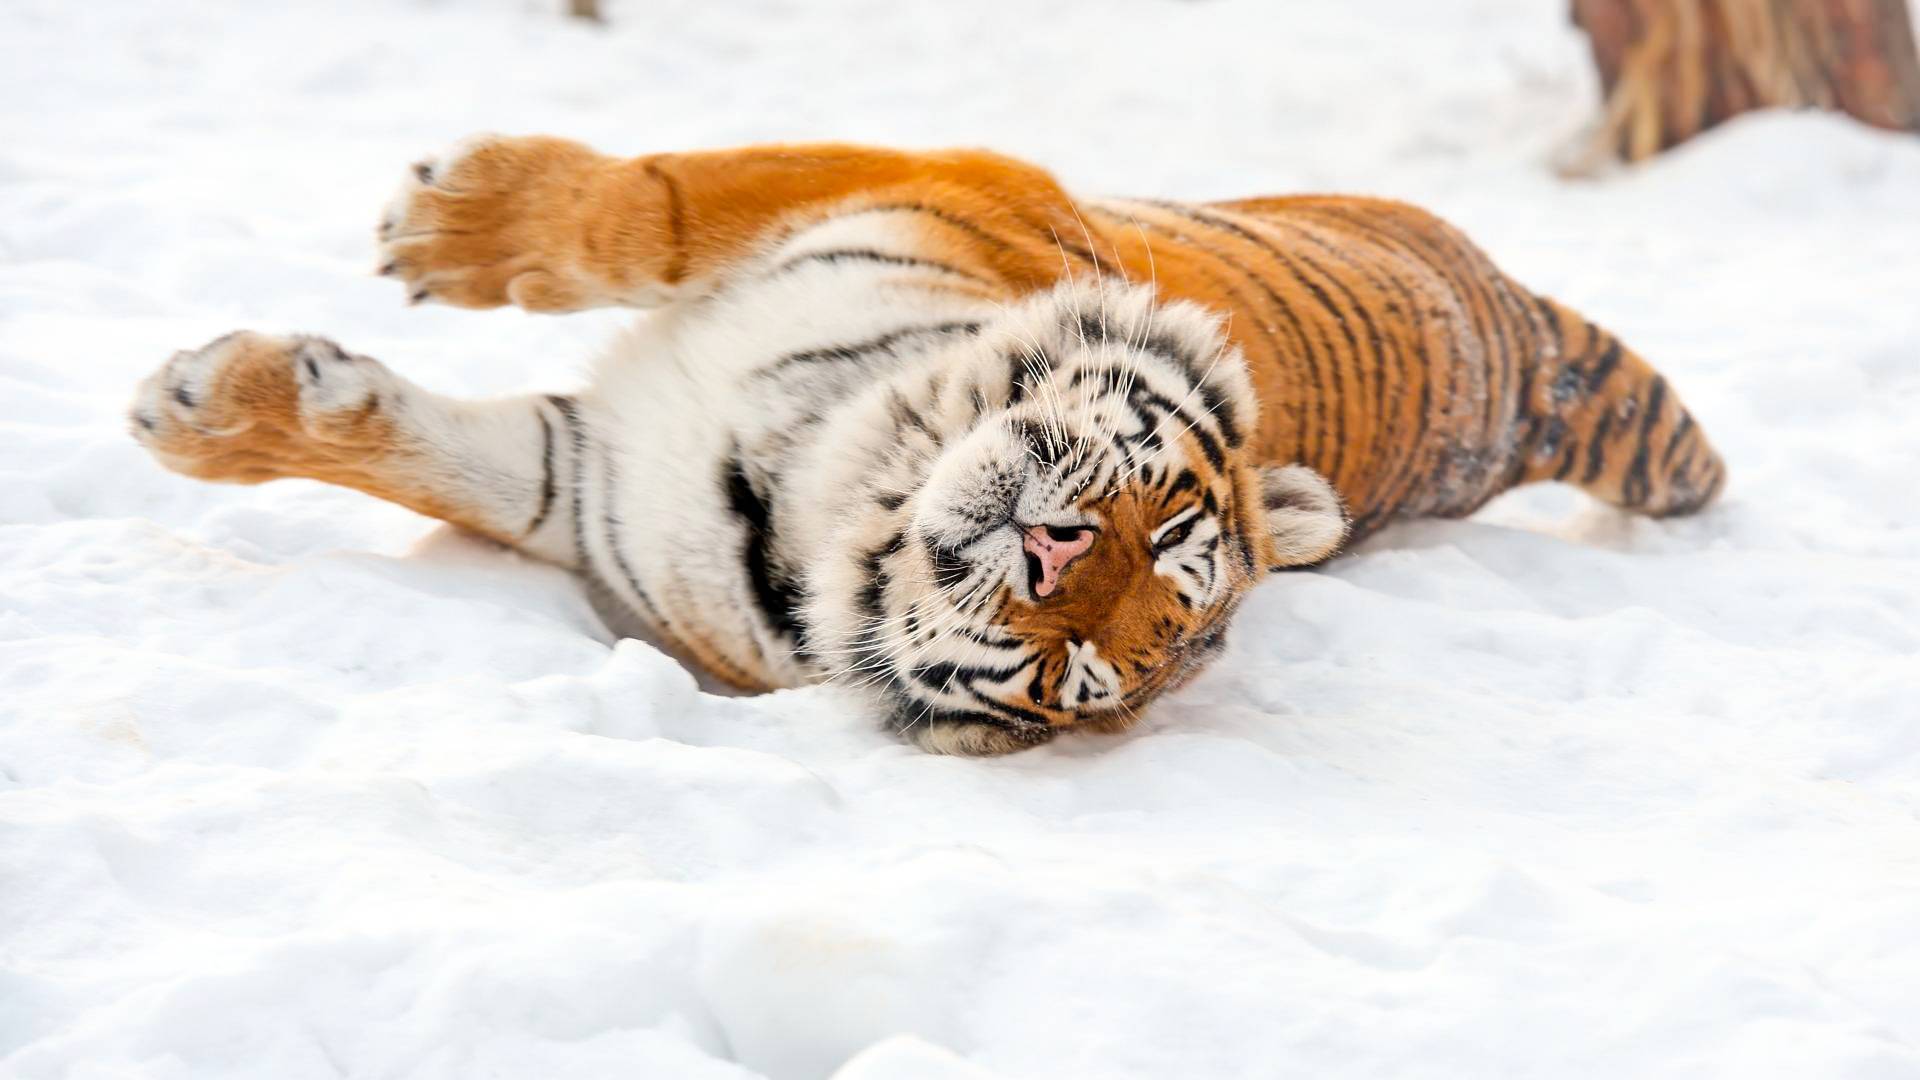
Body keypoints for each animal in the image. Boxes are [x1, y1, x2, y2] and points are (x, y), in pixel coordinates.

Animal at [131, 138, 1728, 753]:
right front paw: (450, 222)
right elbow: (645, 210)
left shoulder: (583, 491)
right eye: (1170, 530)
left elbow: (453, 457)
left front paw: (200, 405)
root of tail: (1521, 344)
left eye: (1080, 670)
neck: (825, 480)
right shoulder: (910, 175)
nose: (1048, 555)